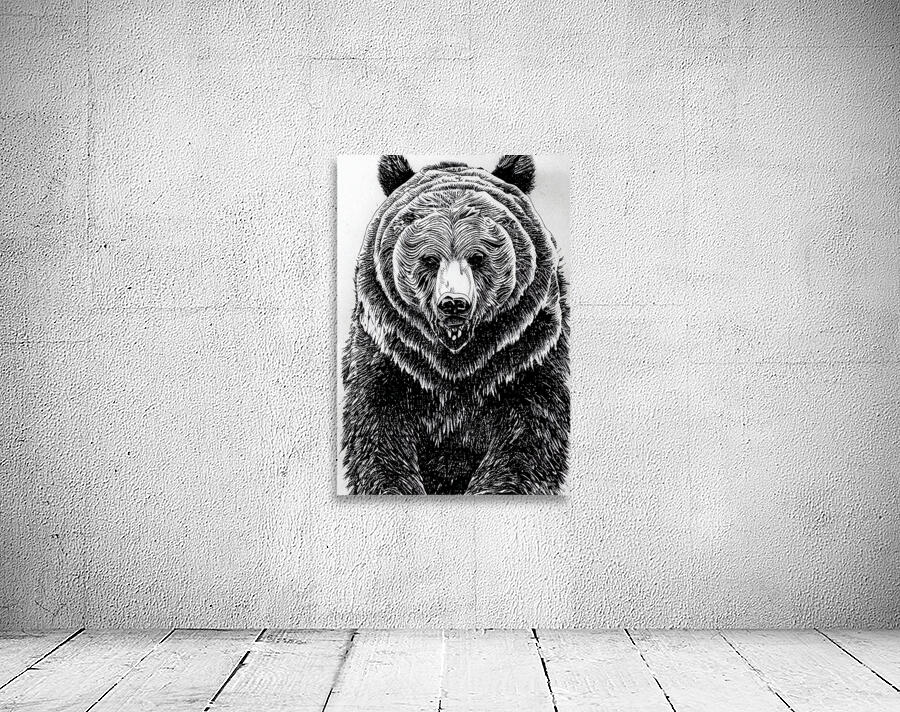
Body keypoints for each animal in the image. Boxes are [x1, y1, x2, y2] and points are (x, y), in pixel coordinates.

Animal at [341, 155, 569, 495]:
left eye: (478, 257)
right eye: (429, 259)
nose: (453, 303)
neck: (455, 365)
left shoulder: (527, 353)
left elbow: (528, 440)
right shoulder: (389, 355)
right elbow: (377, 434)